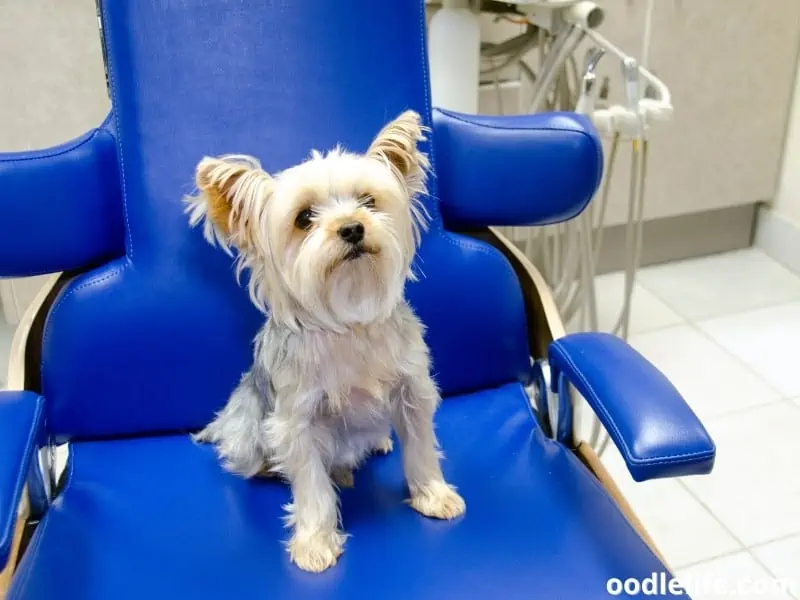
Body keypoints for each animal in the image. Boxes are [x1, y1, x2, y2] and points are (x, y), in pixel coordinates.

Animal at [184, 110, 466, 576]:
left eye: (368, 201)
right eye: (304, 218)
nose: (352, 227)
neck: (349, 320)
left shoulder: (412, 392)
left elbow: (422, 449)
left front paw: (433, 494)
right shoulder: (297, 421)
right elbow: (311, 486)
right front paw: (315, 542)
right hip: (247, 432)